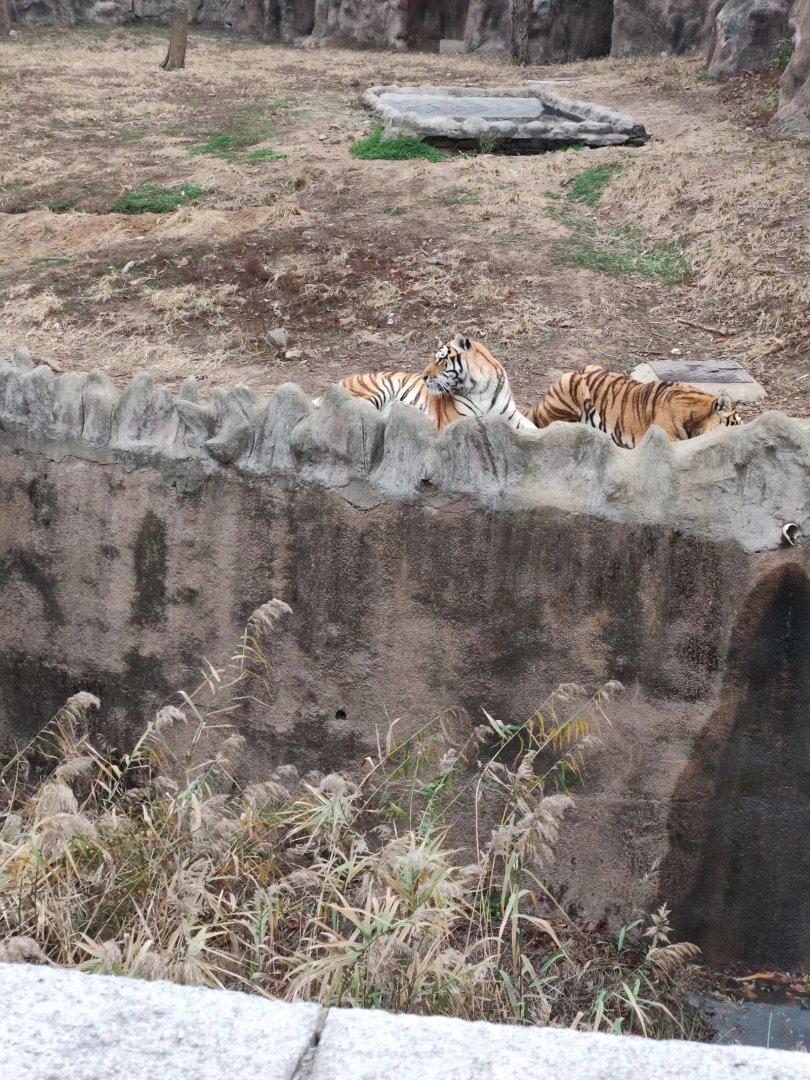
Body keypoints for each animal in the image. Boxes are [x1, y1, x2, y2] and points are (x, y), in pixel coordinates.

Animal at [330, 334, 537, 433]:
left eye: (440, 360)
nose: (423, 376)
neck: (481, 389)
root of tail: (342, 379)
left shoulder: (512, 417)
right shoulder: (456, 421)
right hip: (375, 390)